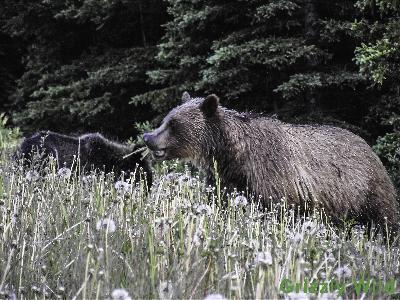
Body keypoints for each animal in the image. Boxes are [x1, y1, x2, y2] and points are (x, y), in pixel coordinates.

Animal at [144, 91, 400, 232]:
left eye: (174, 124)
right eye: (166, 119)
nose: (148, 137)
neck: (235, 156)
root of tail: (368, 146)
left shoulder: (273, 175)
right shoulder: (225, 178)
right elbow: (220, 203)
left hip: (366, 189)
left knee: (386, 220)